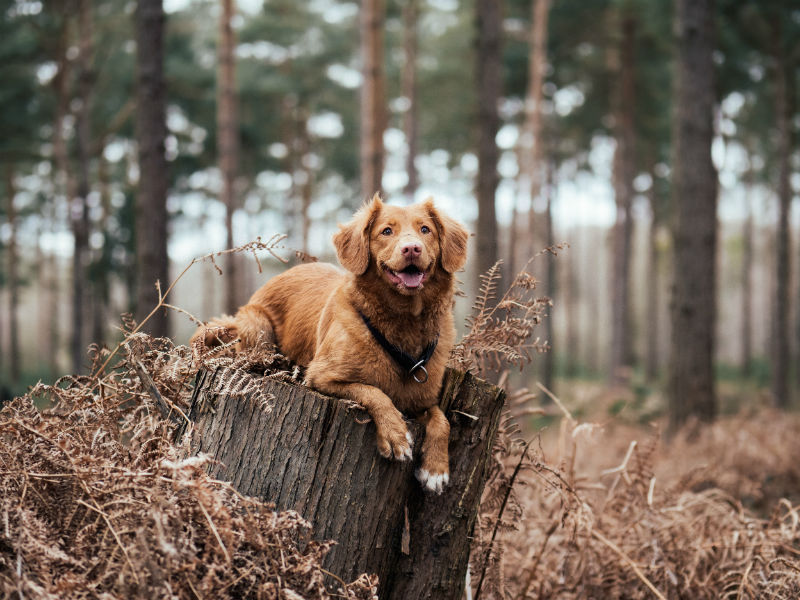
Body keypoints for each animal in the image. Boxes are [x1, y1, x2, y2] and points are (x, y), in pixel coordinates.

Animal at [191, 195, 468, 494]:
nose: (412, 248)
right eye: (386, 231)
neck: (404, 324)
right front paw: (395, 434)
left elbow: (442, 420)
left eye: (425, 229)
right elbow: (374, 392)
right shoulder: (322, 376)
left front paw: (436, 469)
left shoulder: (422, 400)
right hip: (257, 326)